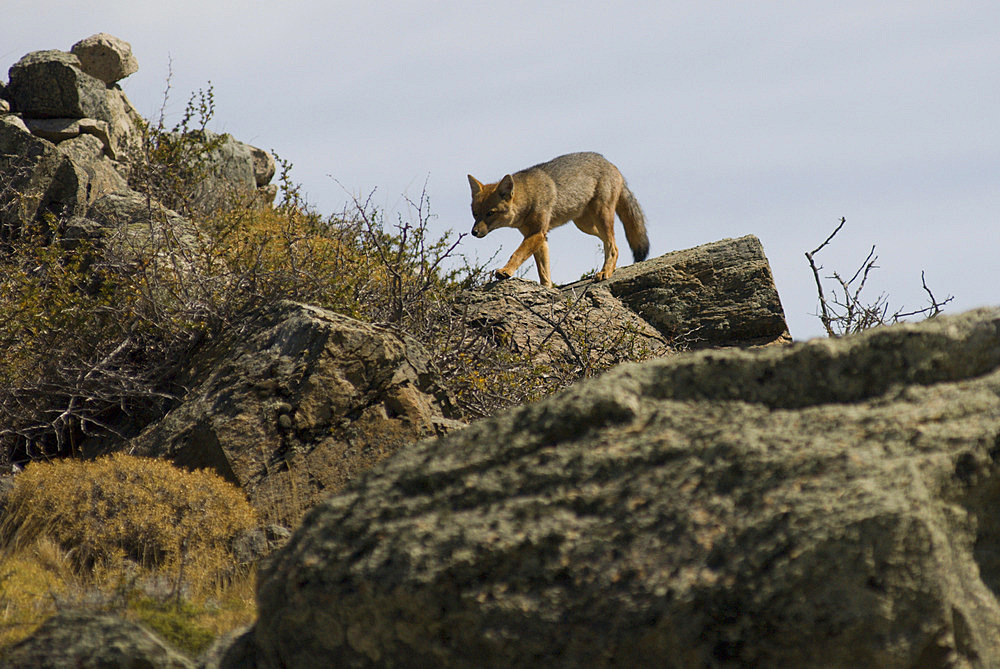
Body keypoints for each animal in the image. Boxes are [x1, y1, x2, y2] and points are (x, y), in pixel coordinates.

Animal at [466, 151, 648, 288]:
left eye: (490, 213)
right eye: (475, 214)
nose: (474, 232)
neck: (529, 197)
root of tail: (609, 162)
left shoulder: (537, 233)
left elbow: (517, 254)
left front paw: (506, 271)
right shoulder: (540, 237)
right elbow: (544, 271)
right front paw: (547, 288)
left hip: (600, 216)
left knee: (612, 245)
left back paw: (605, 272)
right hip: (585, 225)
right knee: (612, 242)